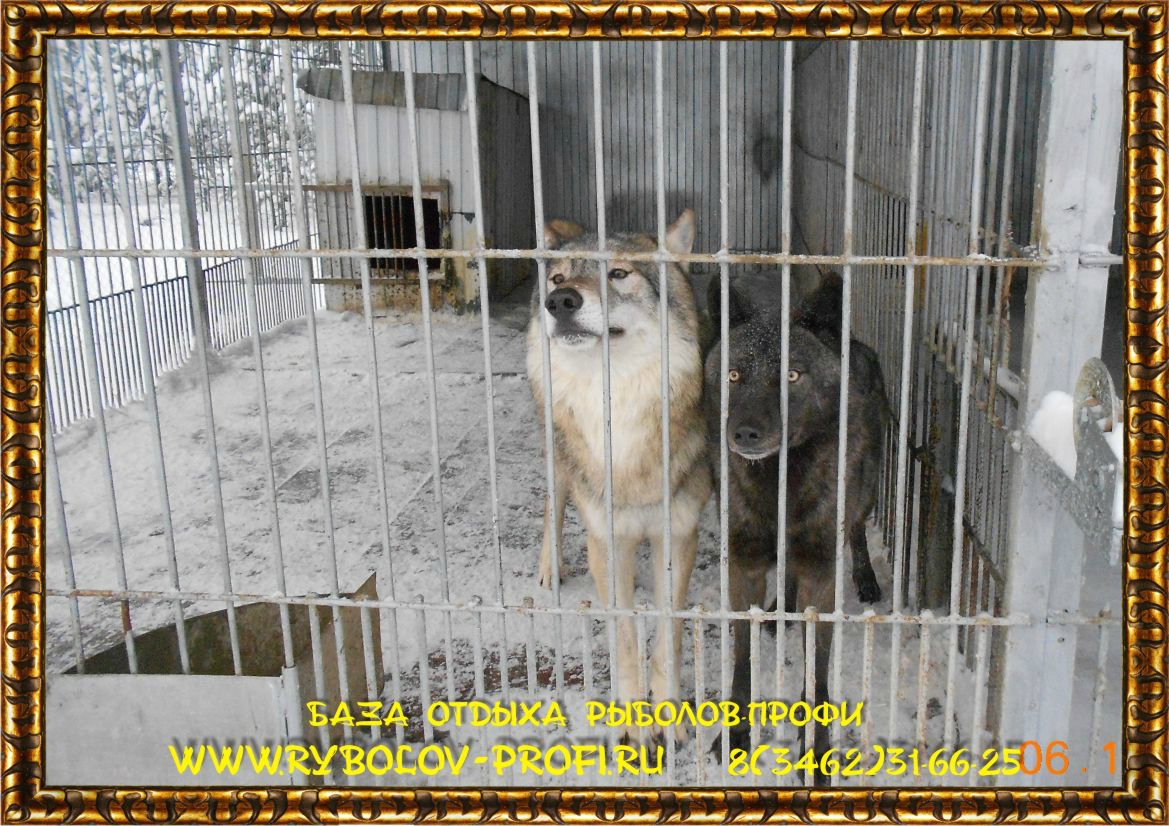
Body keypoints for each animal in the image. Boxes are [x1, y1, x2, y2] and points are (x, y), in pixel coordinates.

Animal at [526, 209, 712, 741]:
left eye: (619, 273)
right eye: (558, 278)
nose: (560, 302)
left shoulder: (678, 534)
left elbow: (668, 635)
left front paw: (668, 714)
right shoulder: (606, 541)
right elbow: (626, 635)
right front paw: (633, 720)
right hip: (557, 456)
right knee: (552, 505)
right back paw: (550, 567)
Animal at [704, 271, 888, 772]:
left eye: (792, 375)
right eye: (733, 375)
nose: (743, 433)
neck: (778, 490)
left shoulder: (821, 576)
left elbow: (816, 666)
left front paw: (817, 748)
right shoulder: (743, 567)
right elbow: (743, 658)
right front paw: (735, 733)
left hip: (864, 492)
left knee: (855, 531)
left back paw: (866, 578)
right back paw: (778, 612)